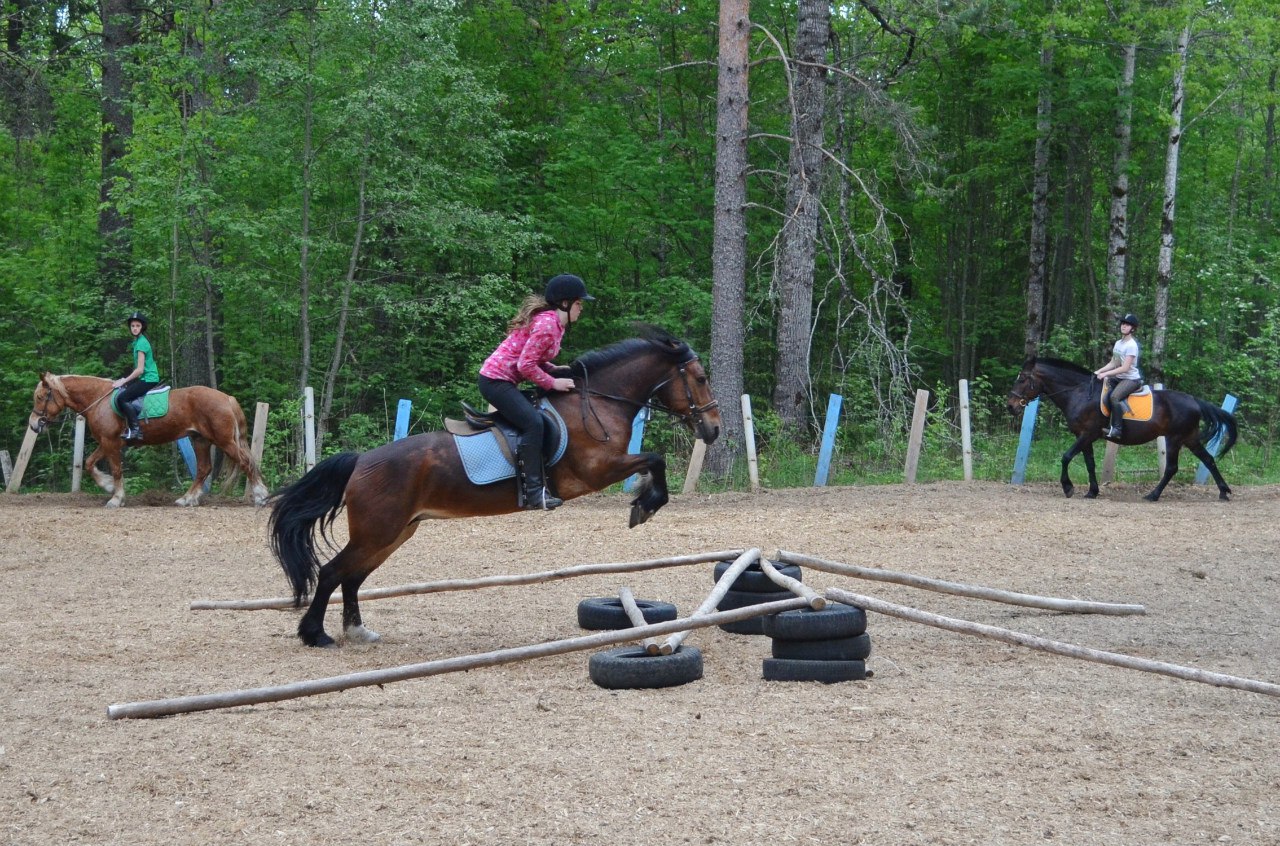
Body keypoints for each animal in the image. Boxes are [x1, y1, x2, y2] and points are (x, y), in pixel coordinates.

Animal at [27, 373, 268, 509]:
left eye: (40, 397)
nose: (34, 424)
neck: (99, 400)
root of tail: (227, 398)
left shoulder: (110, 443)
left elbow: (116, 470)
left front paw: (116, 498)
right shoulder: (107, 442)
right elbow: (88, 463)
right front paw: (108, 486)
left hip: (224, 441)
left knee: (246, 463)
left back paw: (261, 496)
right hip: (200, 440)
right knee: (203, 469)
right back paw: (187, 499)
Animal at [267, 327, 721, 647]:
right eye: (700, 378)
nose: (714, 430)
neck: (598, 401)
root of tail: (361, 461)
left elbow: (653, 462)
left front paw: (643, 500)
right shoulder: (597, 470)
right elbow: (655, 459)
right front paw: (646, 503)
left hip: (395, 532)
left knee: (353, 577)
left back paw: (357, 632)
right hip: (378, 530)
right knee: (332, 572)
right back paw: (315, 634)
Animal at [1003, 355, 1233, 501]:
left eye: (1022, 380)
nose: (1010, 406)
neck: (1079, 393)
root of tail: (1194, 401)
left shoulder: (1087, 434)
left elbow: (1066, 457)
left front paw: (1068, 487)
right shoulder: (1083, 436)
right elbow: (1089, 464)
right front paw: (1092, 492)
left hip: (1174, 439)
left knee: (1172, 468)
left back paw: (1153, 495)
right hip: (1189, 438)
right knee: (1208, 460)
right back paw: (1224, 492)